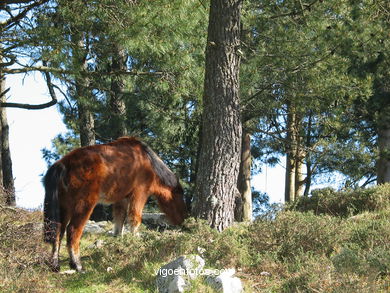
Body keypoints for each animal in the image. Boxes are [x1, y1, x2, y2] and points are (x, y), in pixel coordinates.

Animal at [43, 136, 187, 270]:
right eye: (180, 196)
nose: (183, 220)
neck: (147, 161)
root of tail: (64, 163)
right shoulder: (139, 193)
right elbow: (135, 219)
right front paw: (134, 243)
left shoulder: (121, 199)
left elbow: (119, 223)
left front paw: (119, 245)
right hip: (84, 205)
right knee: (72, 230)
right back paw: (77, 265)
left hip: (65, 207)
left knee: (58, 230)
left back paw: (55, 264)